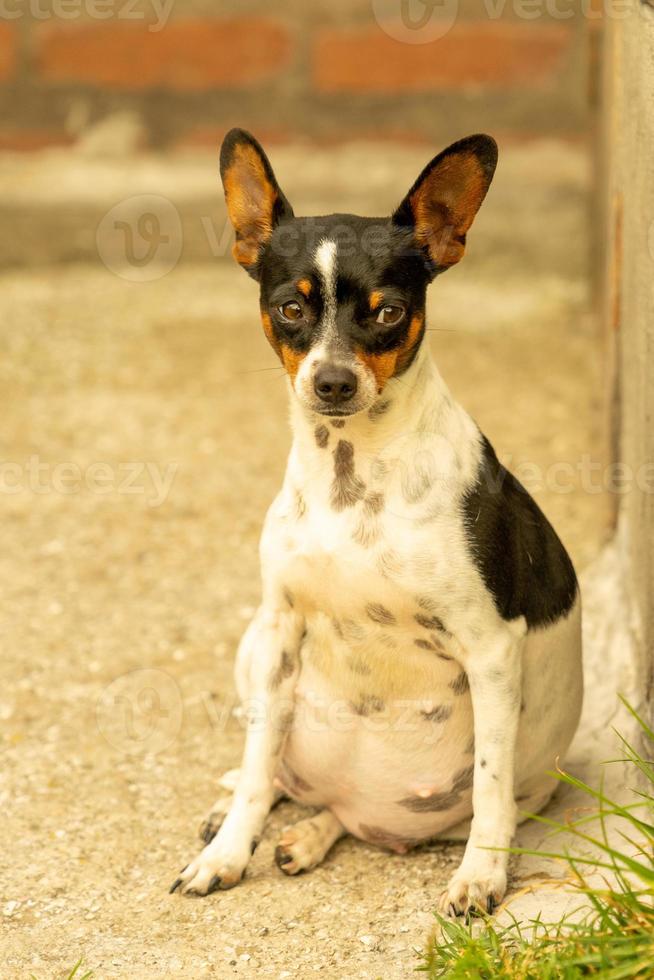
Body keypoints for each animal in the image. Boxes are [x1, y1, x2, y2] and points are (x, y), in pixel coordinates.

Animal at [170, 126, 584, 916]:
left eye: (387, 311)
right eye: (290, 309)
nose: (333, 382)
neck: (351, 478)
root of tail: (363, 806)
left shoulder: (492, 650)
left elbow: (489, 789)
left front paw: (482, 879)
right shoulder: (280, 629)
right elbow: (260, 761)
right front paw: (228, 854)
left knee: (369, 812)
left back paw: (312, 836)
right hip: (252, 647)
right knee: (282, 775)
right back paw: (258, 815)